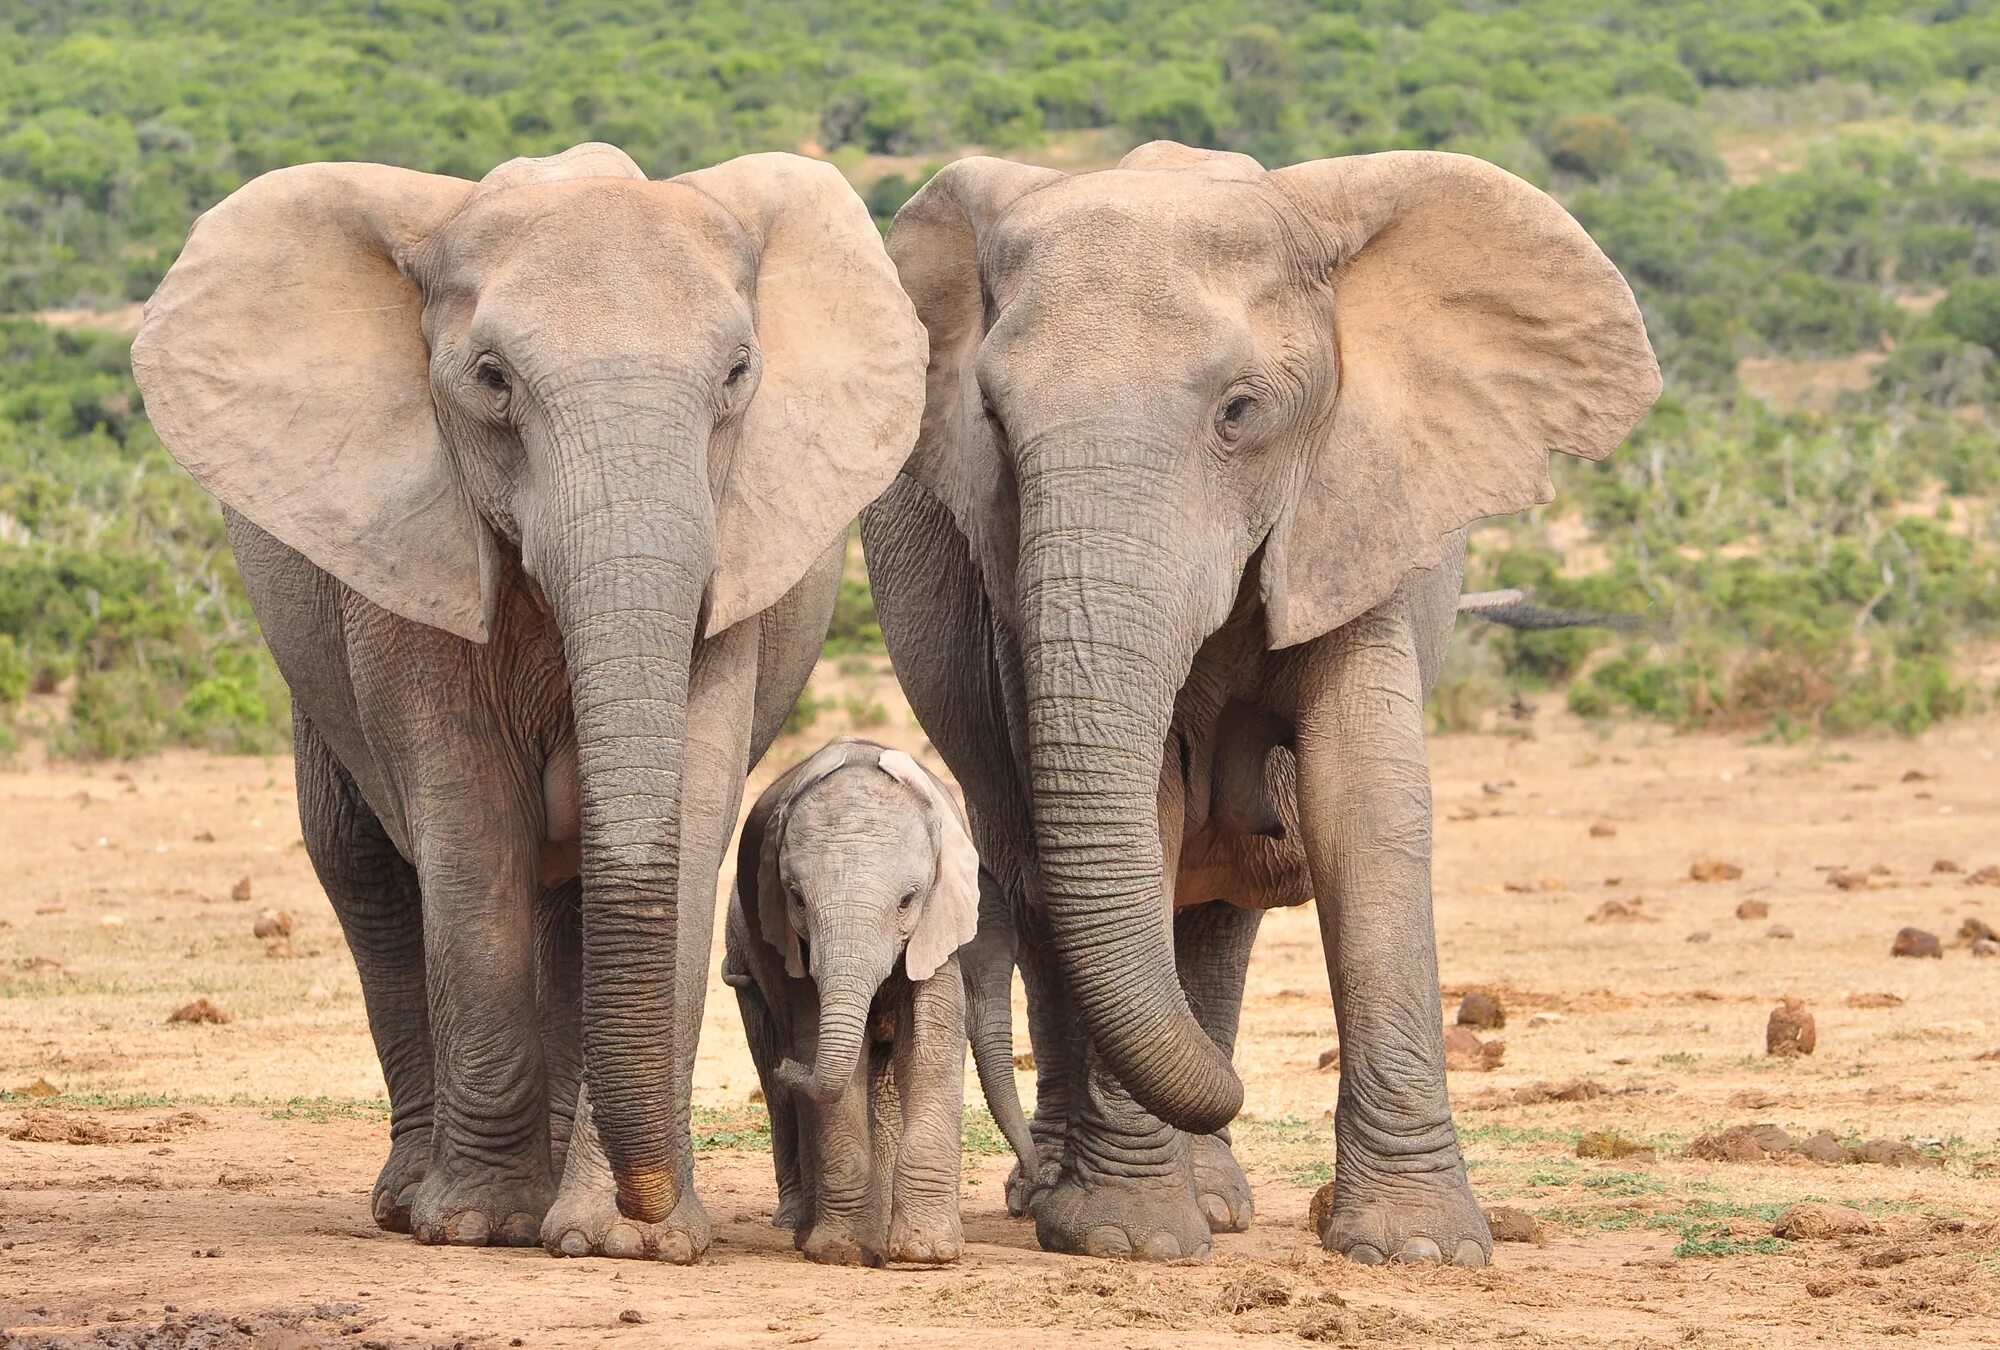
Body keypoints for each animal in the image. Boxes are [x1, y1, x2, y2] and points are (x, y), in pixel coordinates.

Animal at [133, 143, 928, 1264]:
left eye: (738, 376)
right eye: (491, 381)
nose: (653, 1199)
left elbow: (683, 821)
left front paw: (630, 1243)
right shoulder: (413, 557)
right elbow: (472, 833)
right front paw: (480, 1224)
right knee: (363, 870)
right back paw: (414, 1203)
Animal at [728, 740, 1032, 1264]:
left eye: (908, 899)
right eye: (796, 898)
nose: (1027, 1191)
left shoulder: (938, 926)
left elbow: (930, 1048)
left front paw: (926, 1253)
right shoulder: (788, 940)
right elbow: (816, 1040)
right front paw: (842, 1251)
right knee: (776, 1078)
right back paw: (805, 1229)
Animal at [860, 145, 1656, 1264]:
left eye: (1239, 411)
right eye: (994, 426)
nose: (1230, 1092)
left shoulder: (1361, 512)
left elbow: (1362, 805)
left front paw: (1418, 1251)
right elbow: (1143, 813)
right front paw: (1130, 1241)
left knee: (1215, 910)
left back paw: (1214, 1194)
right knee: (1053, 876)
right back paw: (1071, 1197)